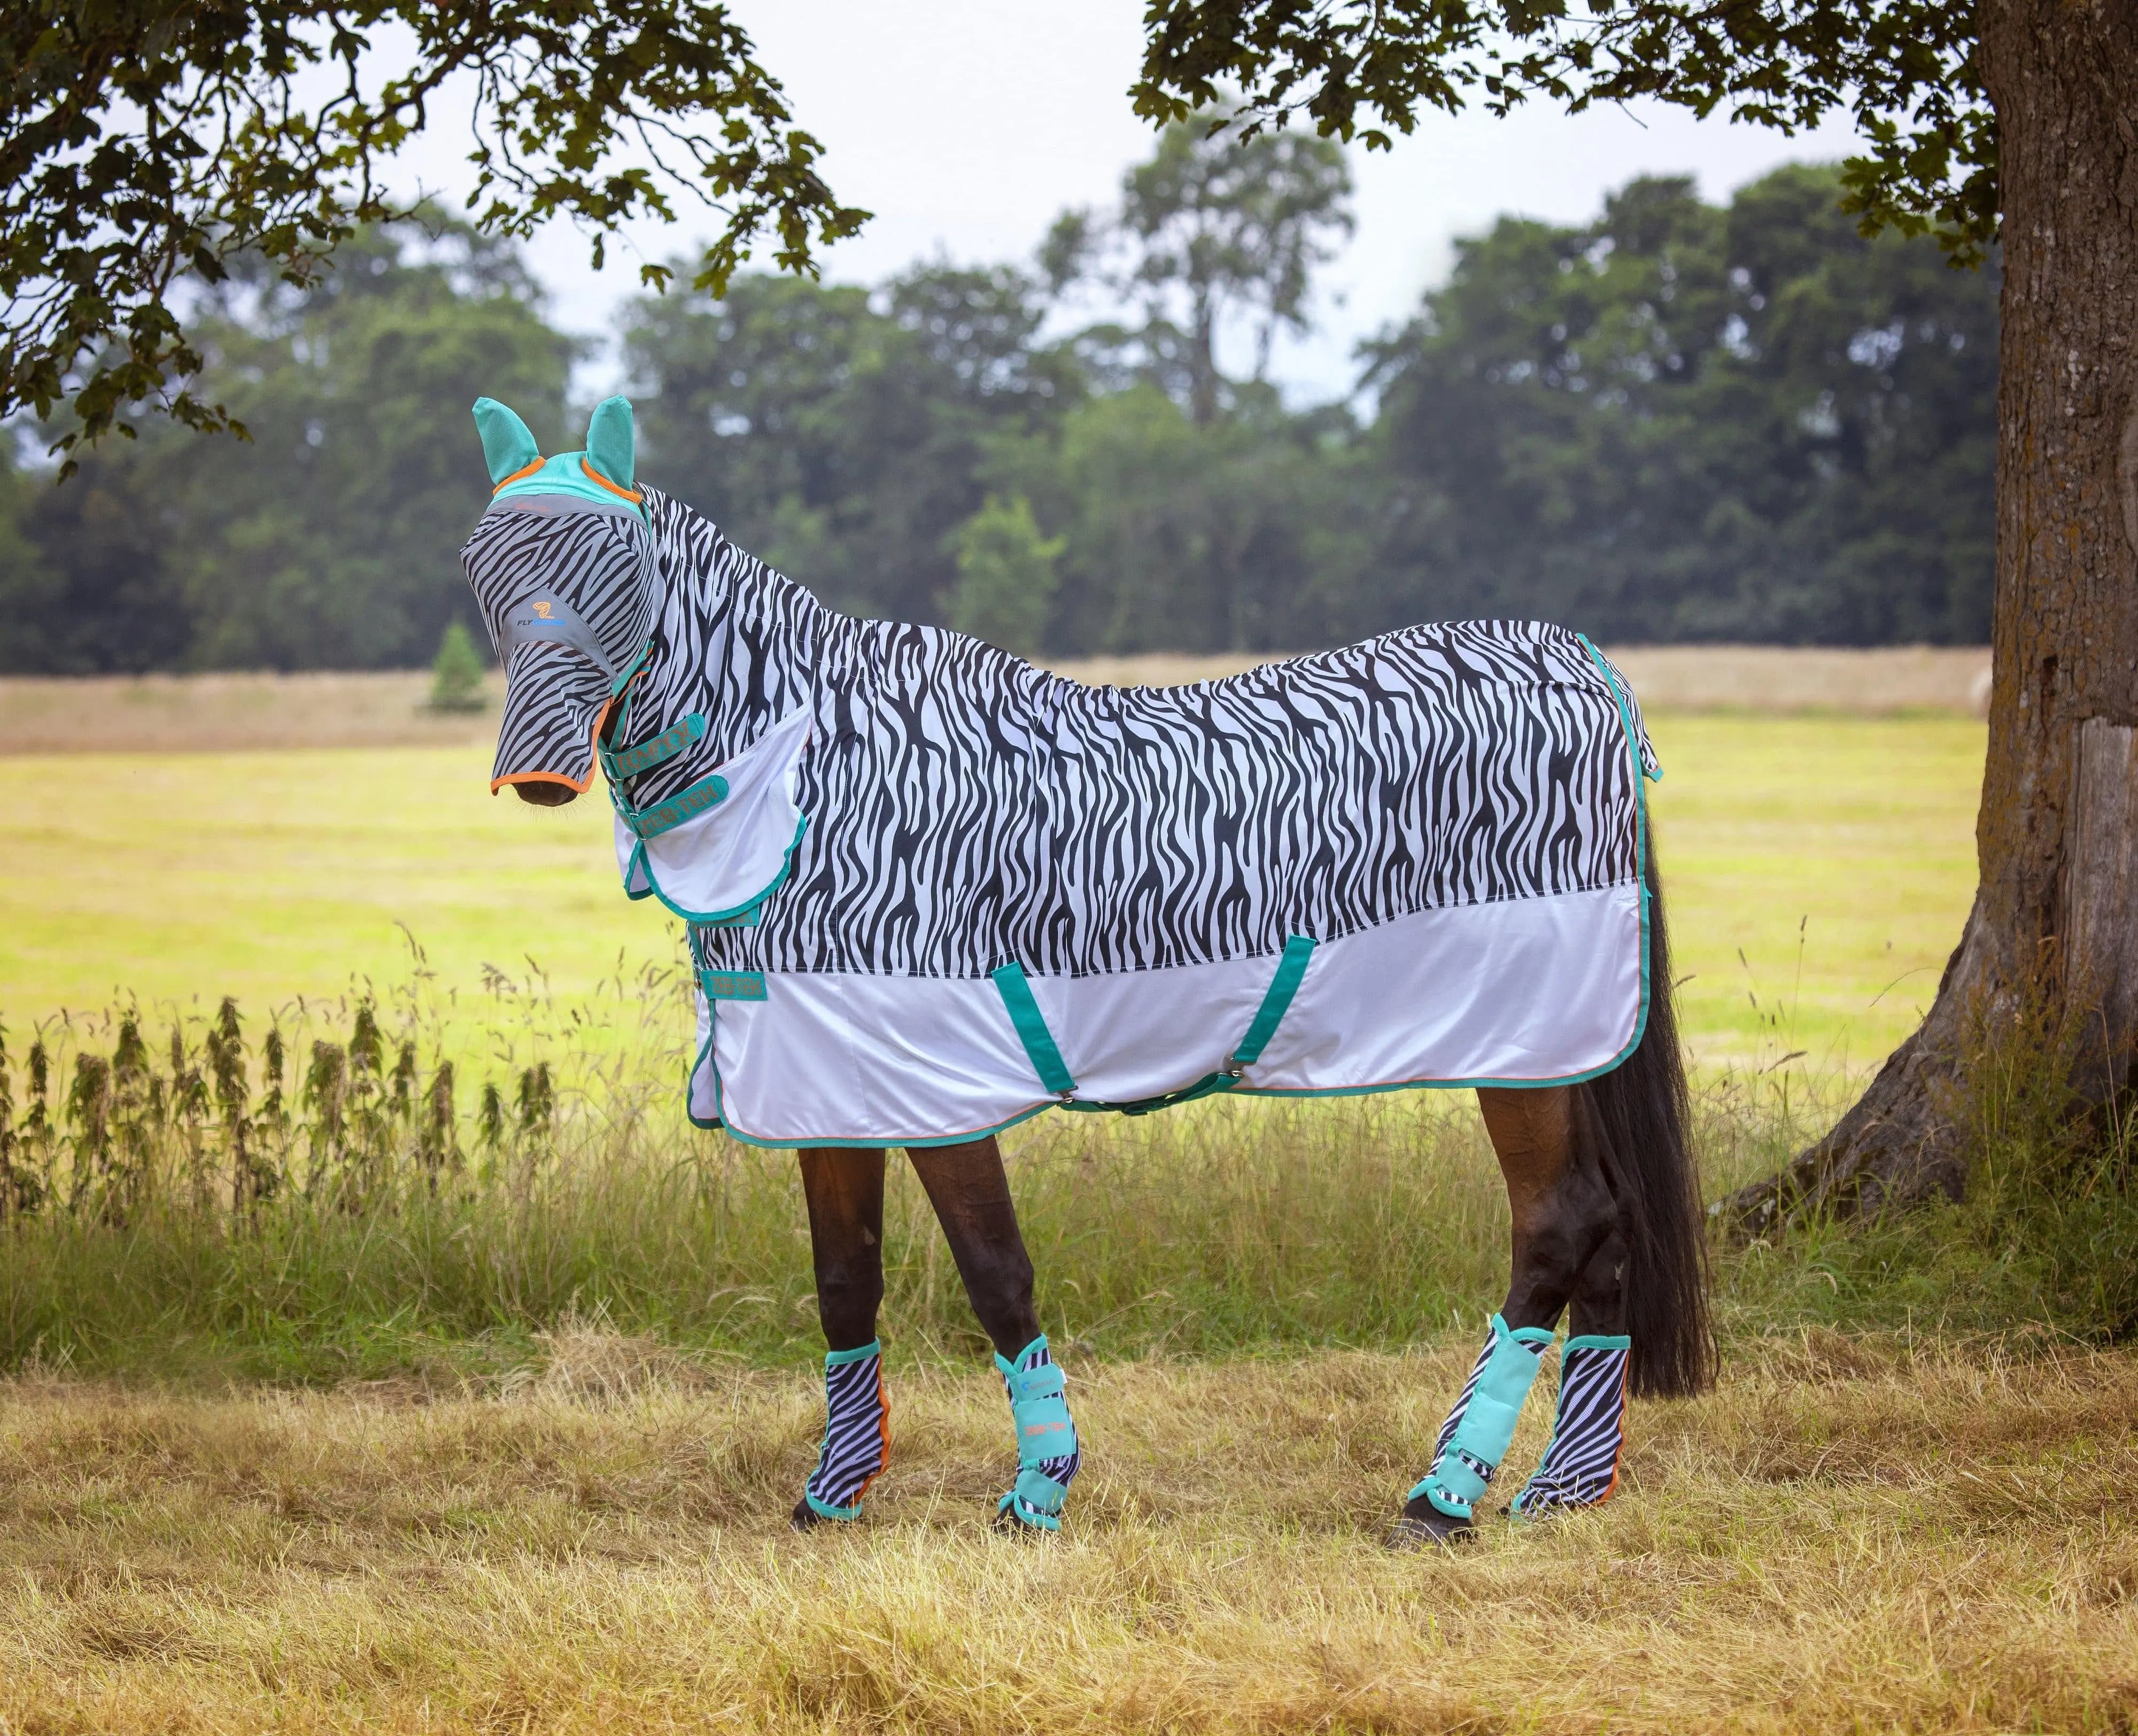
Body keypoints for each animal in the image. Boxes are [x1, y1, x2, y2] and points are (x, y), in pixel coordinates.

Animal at [459, 393, 1713, 1543]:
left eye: (617, 567)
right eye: (479, 561)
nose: (535, 771)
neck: (819, 784)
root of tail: (1581, 665)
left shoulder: (941, 1084)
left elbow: (994, 1271)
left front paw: (1038, 1492)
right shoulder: (828, 1079)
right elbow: (844, 1278)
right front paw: (831, 1496)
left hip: (1519, 1047)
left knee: (1557, 1222)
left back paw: (1441, 1495)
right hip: (1560, 1050)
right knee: (1609, 1230)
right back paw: (1559, 1490)